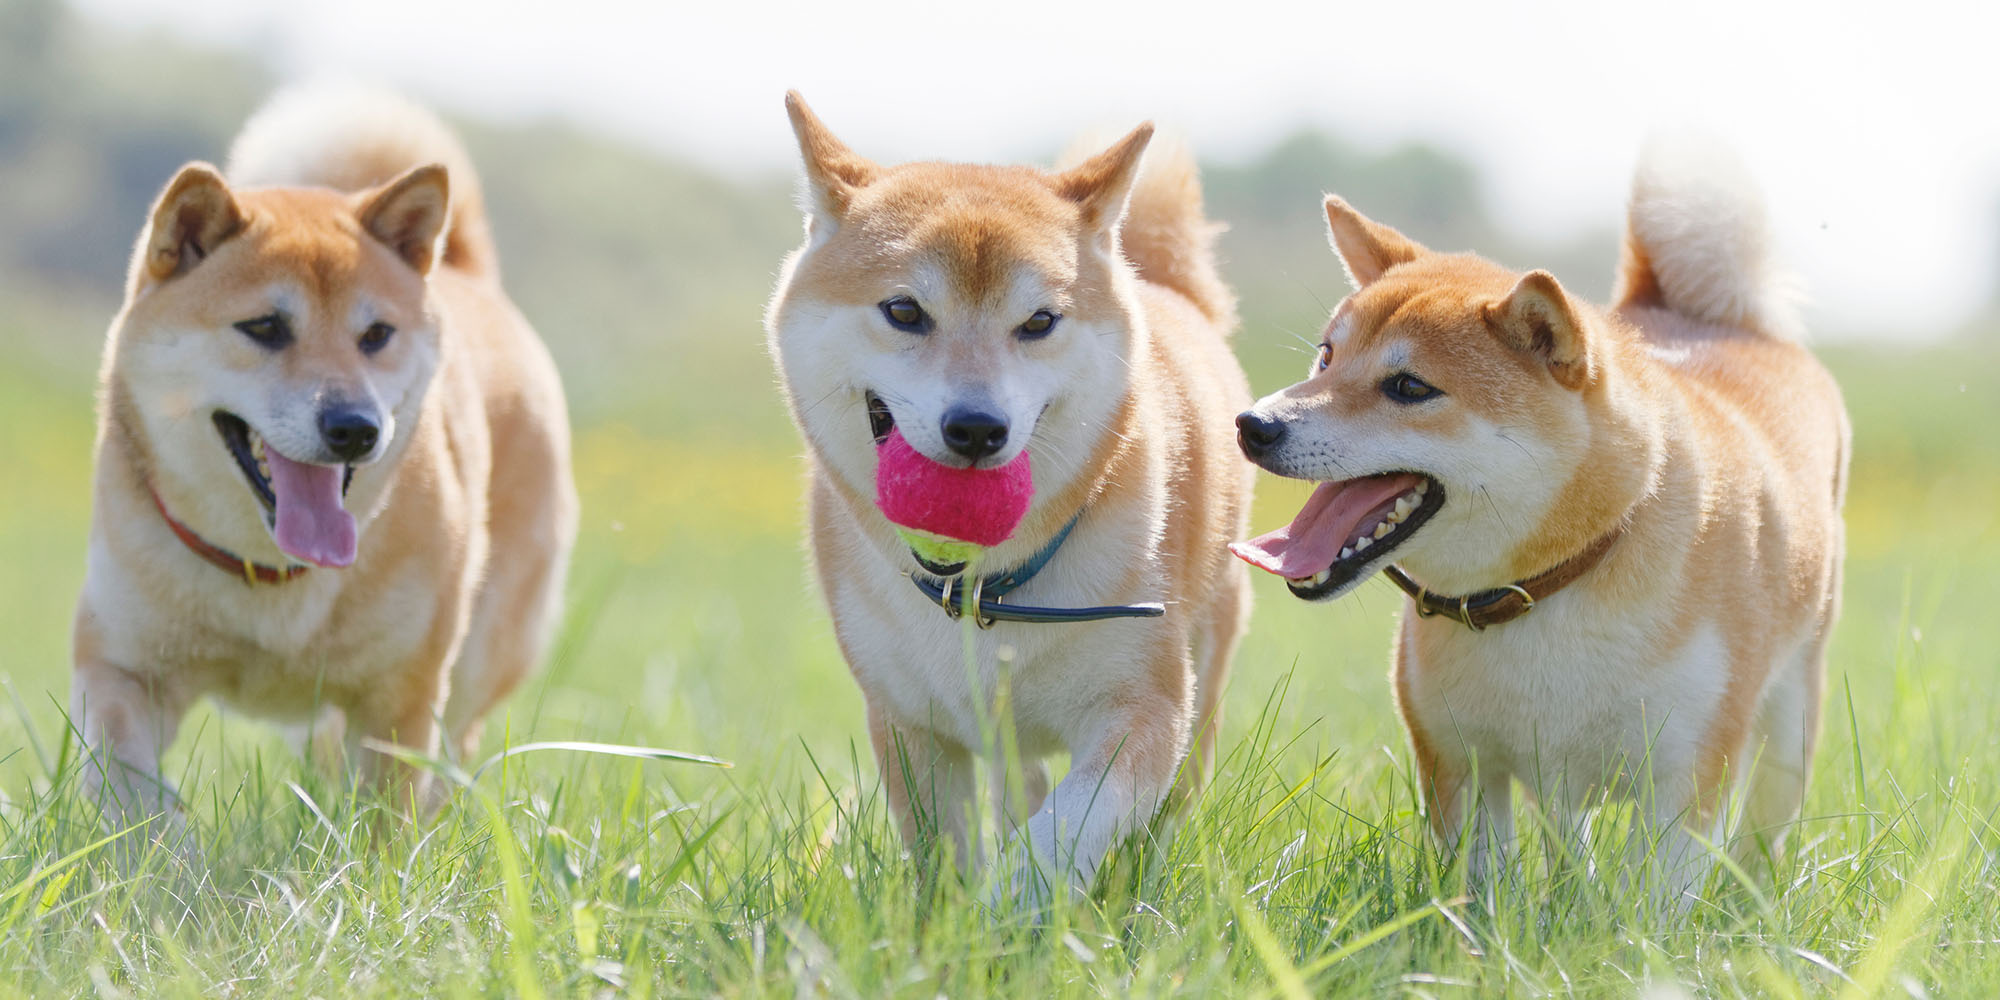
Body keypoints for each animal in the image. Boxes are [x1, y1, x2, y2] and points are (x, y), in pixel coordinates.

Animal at [74, 90, 576, 832]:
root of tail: (465, 272)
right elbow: (128, 786)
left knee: (454, 751)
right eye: (264, 327)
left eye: (376, 335)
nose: (355, 428)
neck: (268, 576)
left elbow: (388, 820)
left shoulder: (401, 694)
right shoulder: (122, 662)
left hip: (481, 650)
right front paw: (162, 849)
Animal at [764, 92, 1248, 892]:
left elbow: (1061, 834)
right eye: (904, 311)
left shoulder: (1144, 709)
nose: (976, 427)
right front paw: (959, 914)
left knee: (1169, 804)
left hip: (1206, 662)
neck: (987, 590)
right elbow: (948, 852)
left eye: (1039, 321)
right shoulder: (909, 722)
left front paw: (1010, 905)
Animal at [1232, 141, 1856, 892]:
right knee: (1568, 833)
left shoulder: (1684, 779)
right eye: (1326, 357)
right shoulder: (1462, 765)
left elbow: (1654, 901)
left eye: (1409, 387)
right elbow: (1486, 891)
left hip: (1790, 720)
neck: (1548, 583)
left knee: (1764, 832)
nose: (1253, 424)